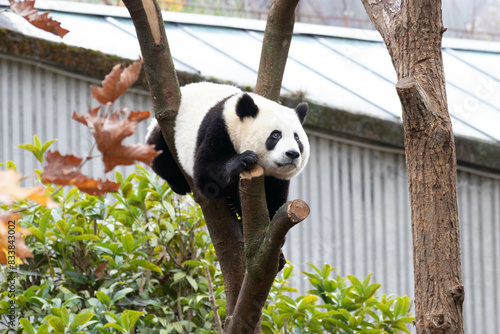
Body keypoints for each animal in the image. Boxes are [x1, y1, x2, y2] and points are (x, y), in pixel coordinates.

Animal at [145, 82, 308, 218]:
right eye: (275, 135)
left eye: (297, 138)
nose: (292, 154)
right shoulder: (218, 128)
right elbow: (206, 173)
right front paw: (244, 159)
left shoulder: (277, 179)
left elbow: (274, 199)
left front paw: (238, 206)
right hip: (164, 132)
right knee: (161, 157)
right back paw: (179, 184)